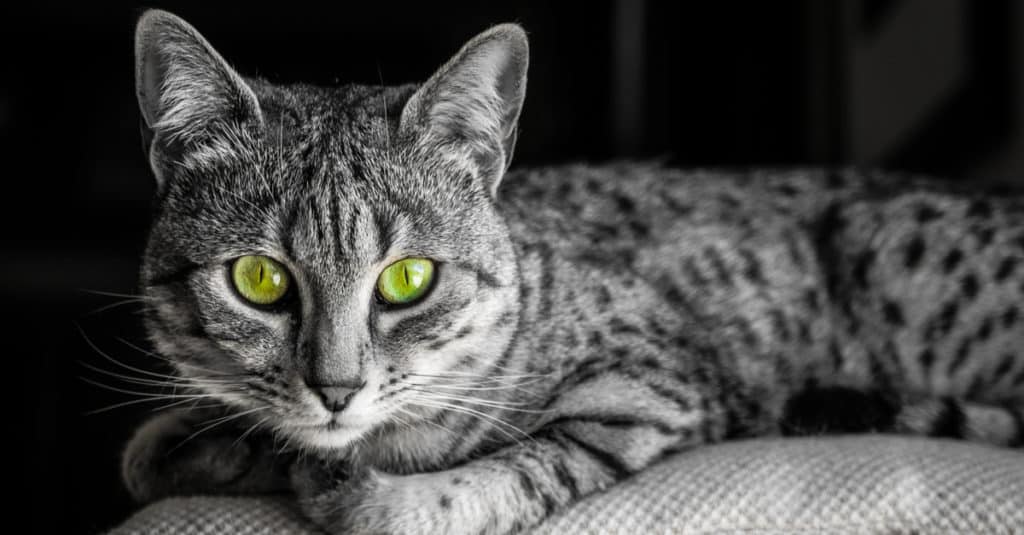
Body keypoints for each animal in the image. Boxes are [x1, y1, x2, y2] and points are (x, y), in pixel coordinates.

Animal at [121, 9, 1024, 532]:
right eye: (260, 280)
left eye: (409, 280)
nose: (335, 388)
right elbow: (177, 439)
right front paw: (214, 442)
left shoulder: (653, 388)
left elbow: (501, 474)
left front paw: (368, 489)